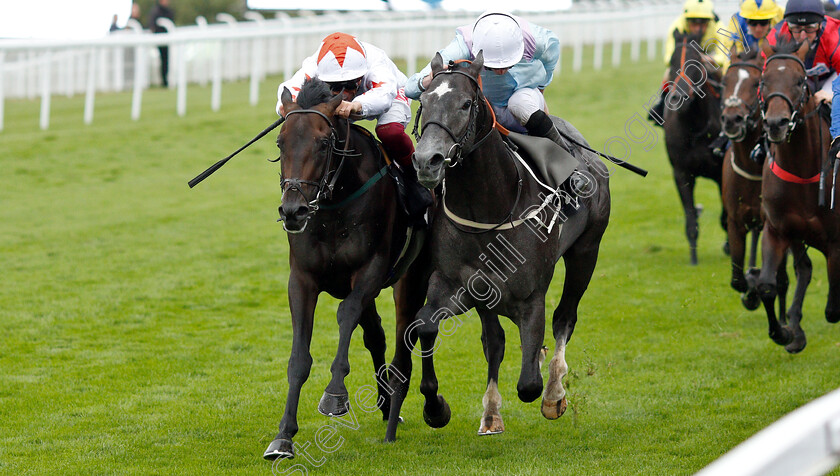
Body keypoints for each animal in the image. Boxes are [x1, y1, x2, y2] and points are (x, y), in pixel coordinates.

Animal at [266, 78, 430, 458]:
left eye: (323, 142)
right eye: (281, 142)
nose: (293, 210)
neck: (333, 206)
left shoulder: (370, 271)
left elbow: (346, 314)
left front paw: (335, 395)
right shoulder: (302, 279)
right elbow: (299, 358)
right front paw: (283, 436)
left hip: (412, 279)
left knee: (413, 330)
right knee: (377, 336)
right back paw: (386, 405)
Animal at [386, 52, 612, 442]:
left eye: (465, 103)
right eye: (424, 101)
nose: (427, 161)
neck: (489, 207)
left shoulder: (531, 297)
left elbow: (529, 384)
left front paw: (546, 384)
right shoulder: (457, 285)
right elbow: (427, 326)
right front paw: (436, 408)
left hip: (587, 251)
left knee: (565, 317)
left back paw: (554, 390)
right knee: (494, 339)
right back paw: (491, 413)